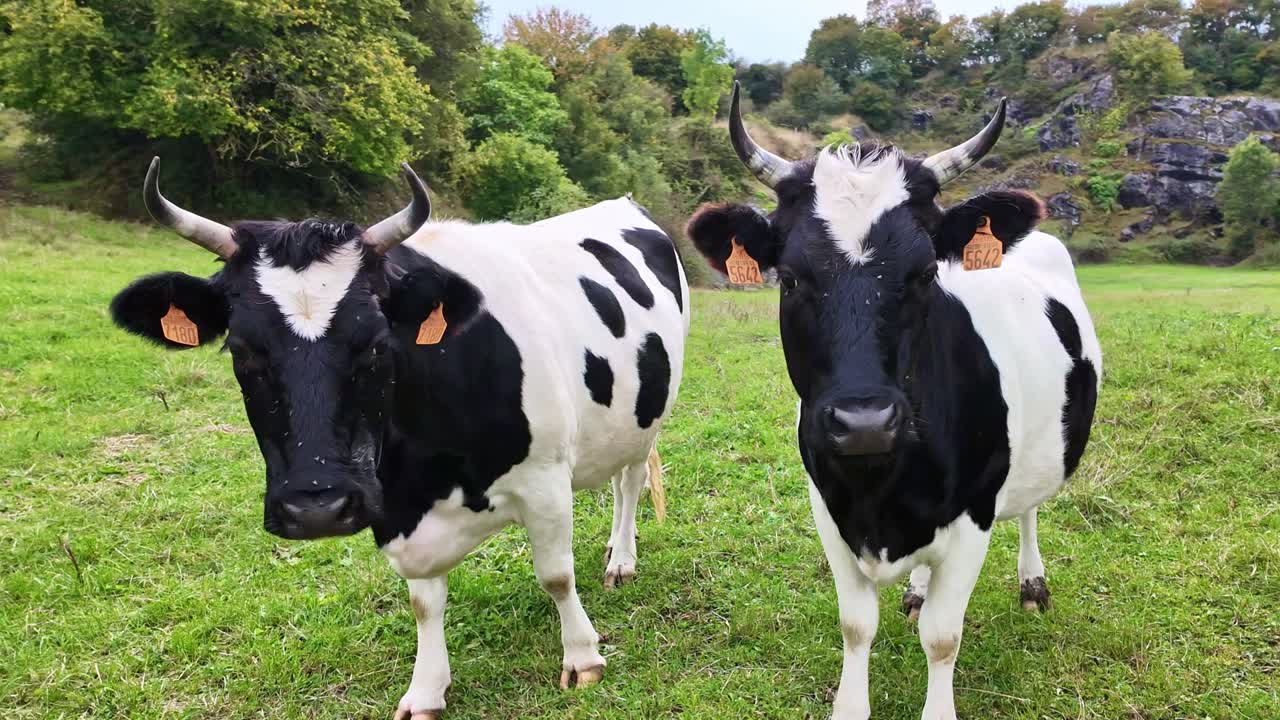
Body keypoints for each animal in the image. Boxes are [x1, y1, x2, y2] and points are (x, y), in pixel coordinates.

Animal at [108, 158, 690, 719]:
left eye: (375, 343)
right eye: (241, 349)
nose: (316, 509)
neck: (427, 476)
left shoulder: (545, 480)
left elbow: (556, 576)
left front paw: (582, 657)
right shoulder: (393, 506)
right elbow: (424, 603)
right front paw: (427, 689)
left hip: (648, 414)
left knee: (630, 482)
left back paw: (621, 558)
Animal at [686, 83, 1101, 720]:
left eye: (926, 272)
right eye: (790, 278)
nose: (864, 422)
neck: (882, 491)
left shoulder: (975, 514)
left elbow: (943, 636)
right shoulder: (828, 507)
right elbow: (856, 625)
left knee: (1031, 508)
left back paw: (1032, 584)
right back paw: (915, 591)